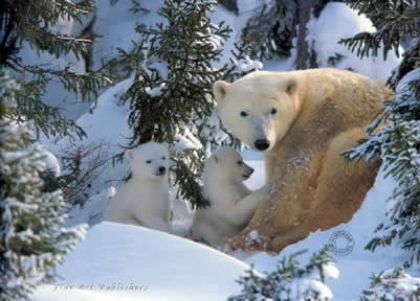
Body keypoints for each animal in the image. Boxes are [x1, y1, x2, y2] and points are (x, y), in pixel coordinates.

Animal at [213, 68, 394, 251]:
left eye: (273, 110)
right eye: (243, 112)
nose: (262, 142)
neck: (303, 99)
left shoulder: (317, 126)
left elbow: (291, 184)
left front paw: (240, 239)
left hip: (367, 140)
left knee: (340, 181)